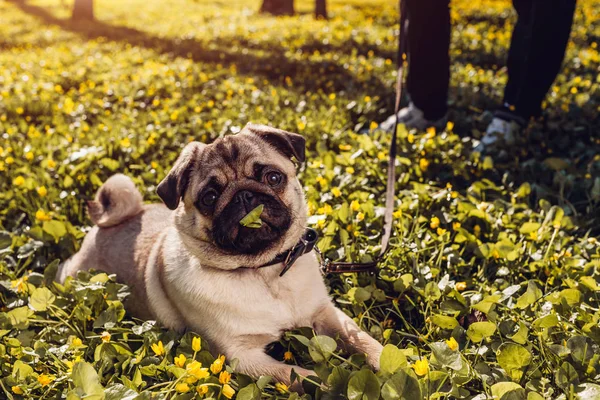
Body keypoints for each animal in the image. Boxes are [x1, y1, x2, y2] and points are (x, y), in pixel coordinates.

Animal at [57, 123, 384, 390]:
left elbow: (361, 340)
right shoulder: (240, 357)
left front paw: (386, 361)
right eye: (210, 197)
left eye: (273, 177)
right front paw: (332, 386)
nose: (244, 196)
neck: (263, 271)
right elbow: (301, 376)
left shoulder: (325, 314)